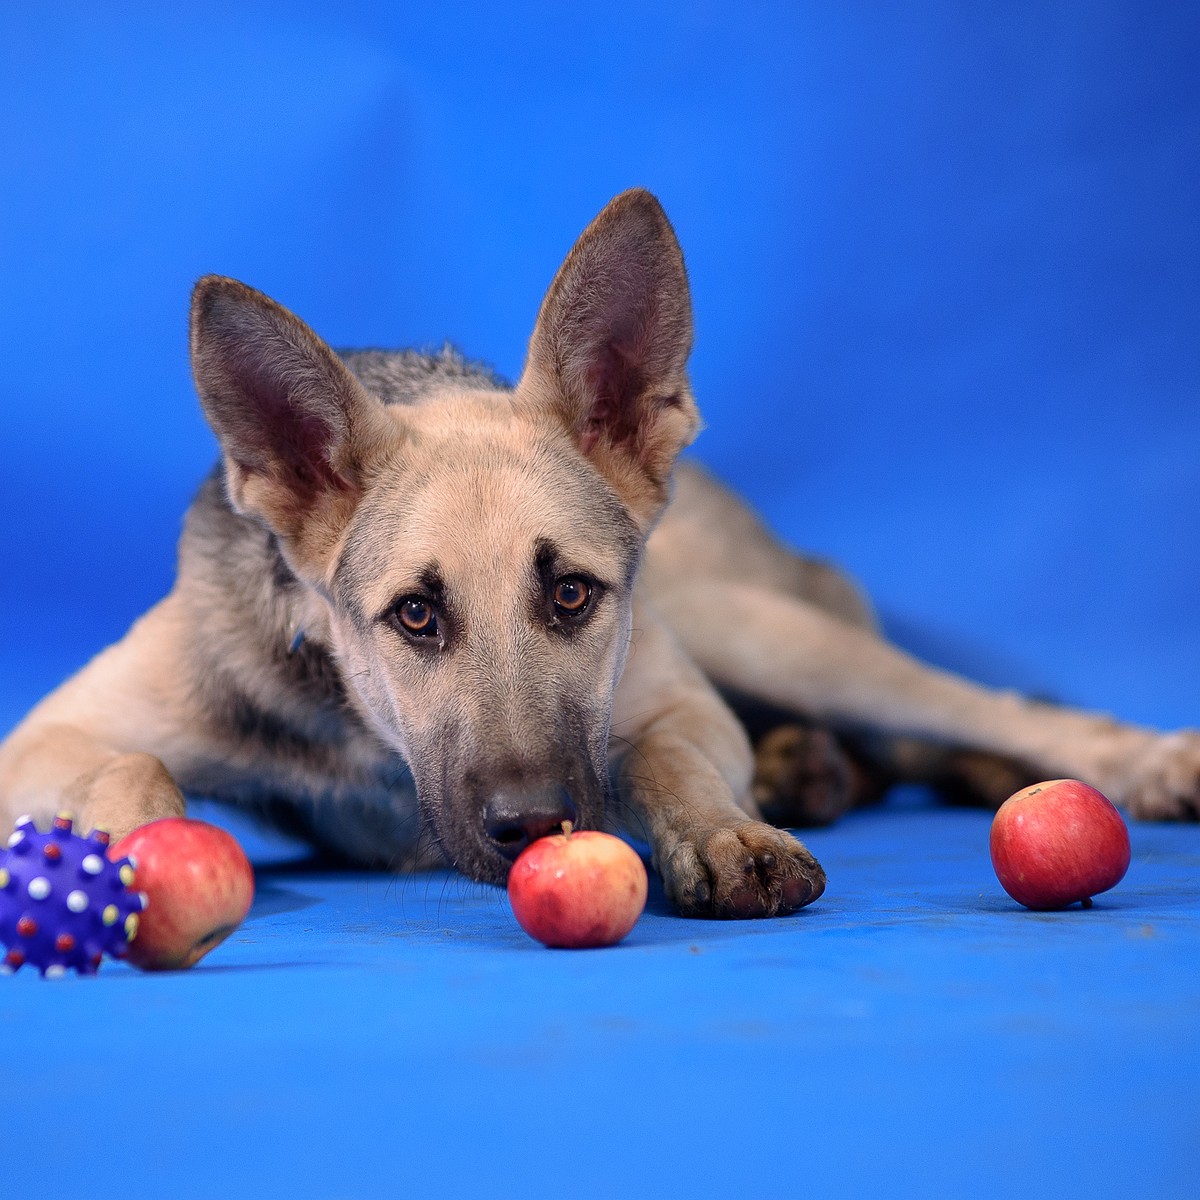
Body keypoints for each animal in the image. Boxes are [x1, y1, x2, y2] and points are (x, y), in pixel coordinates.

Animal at [2, 189, 1200, 916]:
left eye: (573, 594)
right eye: (415, 615)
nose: (533, 824)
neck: (365, 732)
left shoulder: (678, 701)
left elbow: (660, 758)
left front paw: (719, 831)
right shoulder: (45, 739)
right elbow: (134, 760)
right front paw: (123, 846)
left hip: (761, 632)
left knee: (987, 709)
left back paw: (1124, 759)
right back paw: (809, 768)